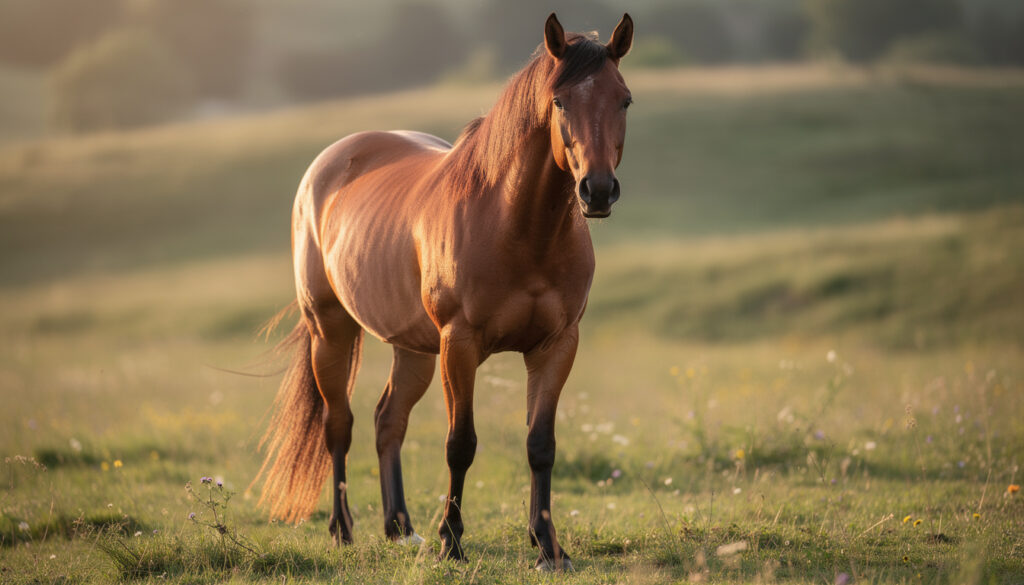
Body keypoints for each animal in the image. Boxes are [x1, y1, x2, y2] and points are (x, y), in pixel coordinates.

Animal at [255, 12, 633, 571]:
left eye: (624, 99)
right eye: (561, 101)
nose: (599, 191)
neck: (519, 227)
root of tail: (328, 165)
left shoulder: (557, 345)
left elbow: (540, 445)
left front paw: (548, 547)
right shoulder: (461, 343)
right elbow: (461, 444)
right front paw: (451, 542)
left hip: (413, 348)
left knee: (388, 420)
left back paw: (399, 528)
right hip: (331, 330)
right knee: (338, 424)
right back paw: (343, 530)